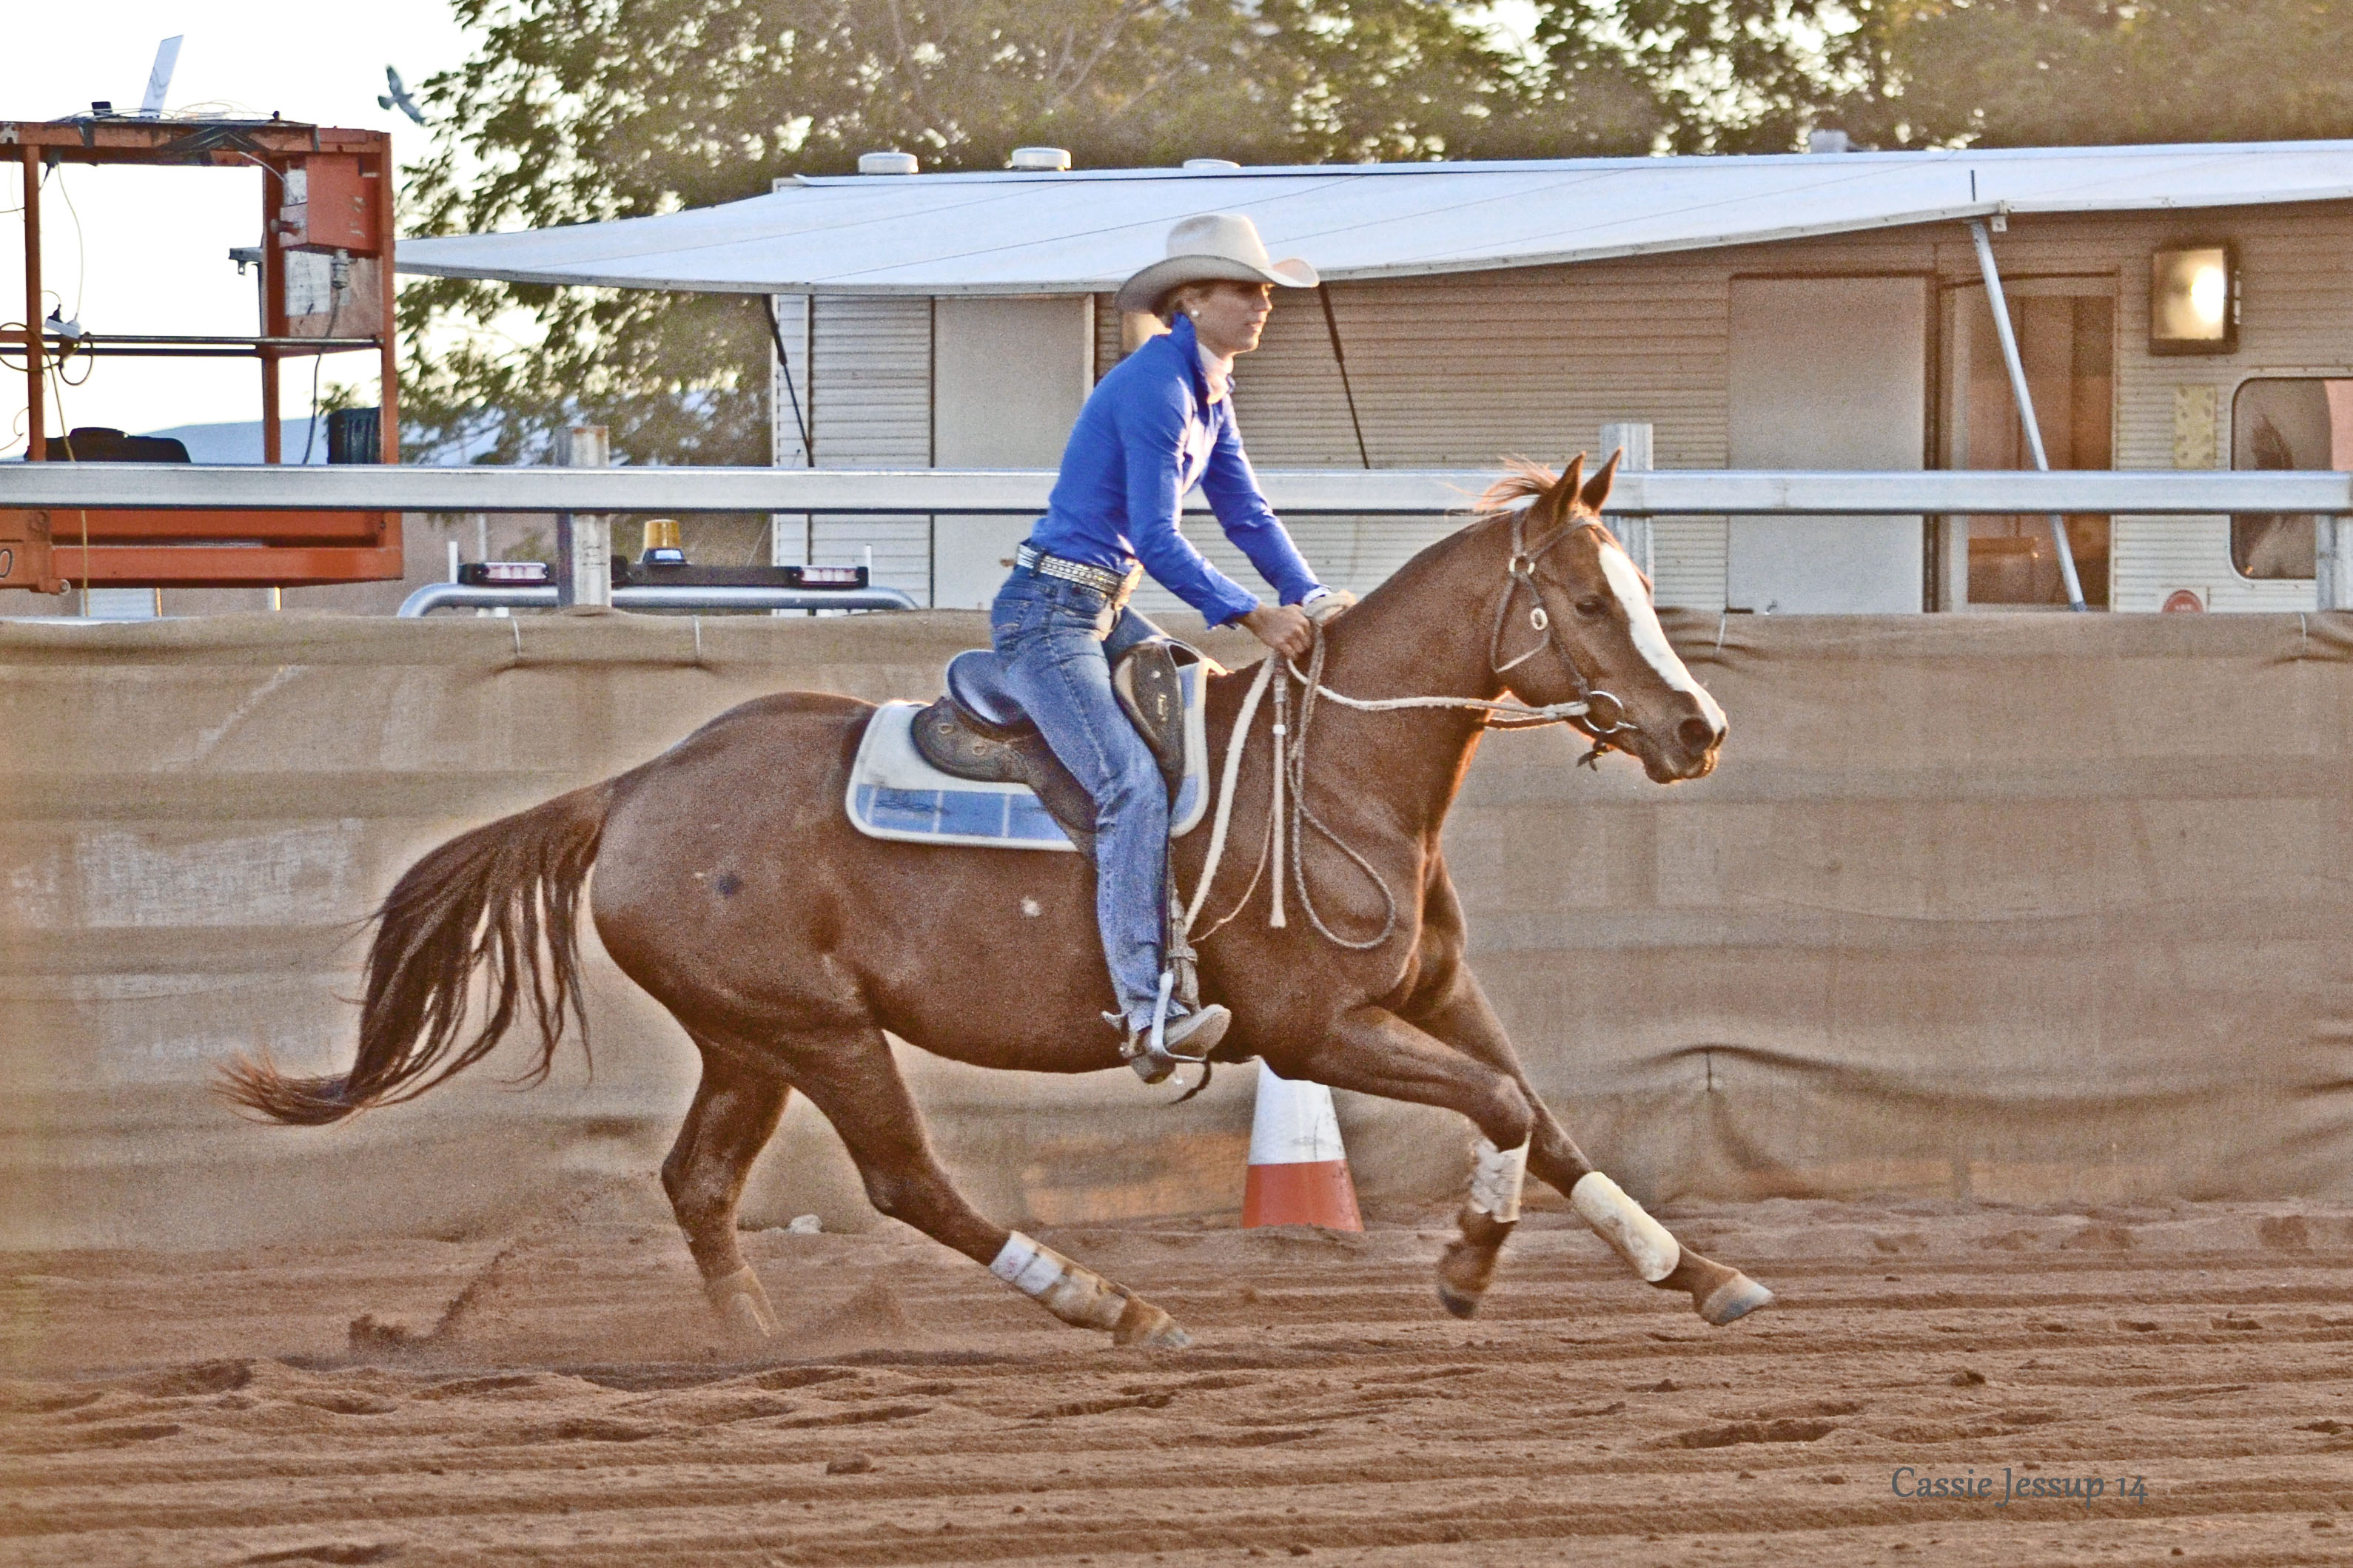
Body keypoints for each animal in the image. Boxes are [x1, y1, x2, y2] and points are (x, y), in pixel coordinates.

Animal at [223, 452, 1772, 1348]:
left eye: (1636, 584)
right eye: (1585, 598)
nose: (1696, 729)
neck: (1334, 765)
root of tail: (636, 784)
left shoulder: (1433, 993)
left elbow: (1545, 1115)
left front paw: (1695, 1269)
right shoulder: (1311, 1028)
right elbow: (1503, 1107)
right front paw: (1462, 1263)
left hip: (746, 1039)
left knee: (701, 1182)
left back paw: (756, 1345)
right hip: (821, 1033)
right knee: (905, 1180)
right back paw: (1106, 1301)